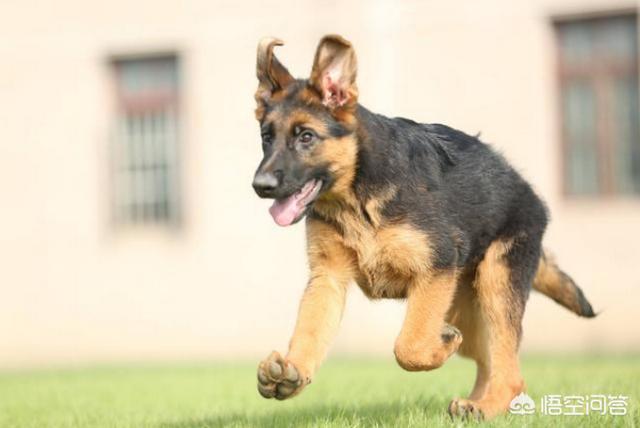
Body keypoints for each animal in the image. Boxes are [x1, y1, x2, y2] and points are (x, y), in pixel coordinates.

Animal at [251, 34, 596, 419]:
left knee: (509, 370)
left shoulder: (436, 266)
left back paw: (485, 406)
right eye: (266, 137)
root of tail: (529, 192)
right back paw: (475, 404)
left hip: (496, 282)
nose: (260, 186)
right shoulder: (328, 277)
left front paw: (438, 347)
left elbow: (409, 346)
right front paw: (291, 372)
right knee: (489, 360)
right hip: (467, 306)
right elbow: (310, 331)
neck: (357, 195)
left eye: (306, 137)